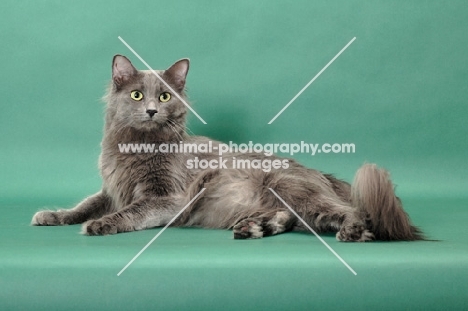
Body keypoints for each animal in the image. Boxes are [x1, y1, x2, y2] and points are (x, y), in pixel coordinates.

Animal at [29, 54, 424, 243]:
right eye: (137, 95)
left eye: (165, 96)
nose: (152, 110)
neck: (133, 148)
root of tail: (322, 174)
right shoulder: (111, 189)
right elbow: (83, 205)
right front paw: (53, 216)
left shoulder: (167, 197)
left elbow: (131, 211)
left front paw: (101, 225)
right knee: (294, 220)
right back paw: (255, 228)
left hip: (287, 186)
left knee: (352, 213)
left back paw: (354, 231)